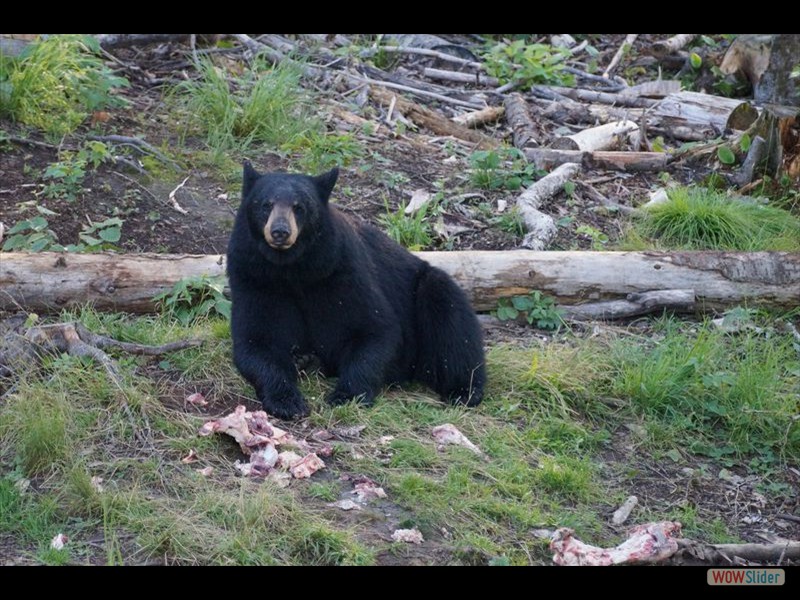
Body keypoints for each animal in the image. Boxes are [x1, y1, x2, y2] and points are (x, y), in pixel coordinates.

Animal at [227, 162, 486, 420]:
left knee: (450, 321)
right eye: (265, 204)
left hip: (428, 291)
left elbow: (375, 330)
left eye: (300, 207)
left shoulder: (341, 270)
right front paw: (287, 400)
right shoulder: (254, 277)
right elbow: (257, 341)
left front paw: (345, 395)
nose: (280, 231)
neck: (292, 268)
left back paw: (464, 391)